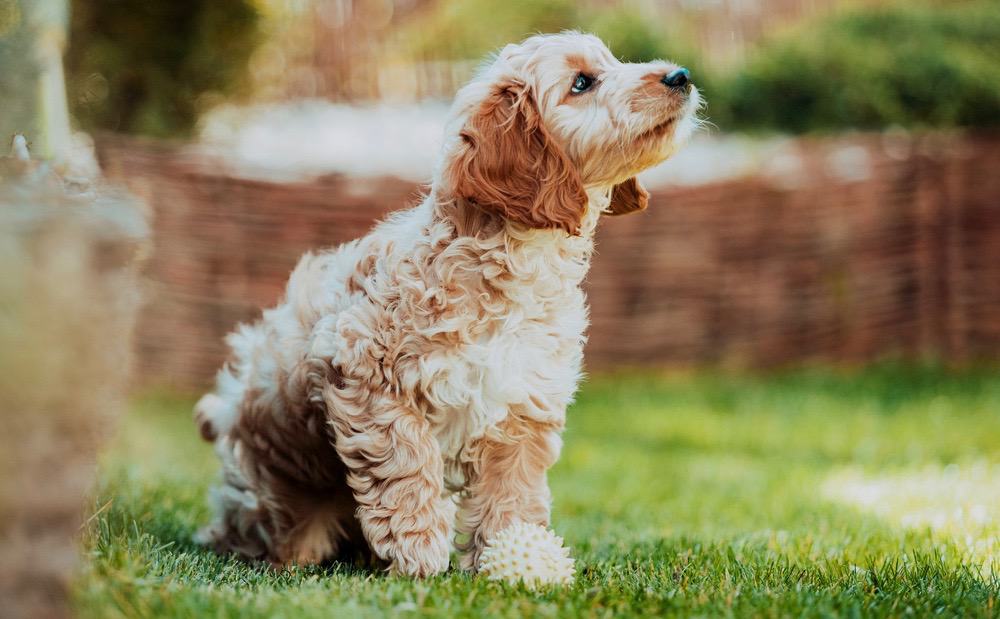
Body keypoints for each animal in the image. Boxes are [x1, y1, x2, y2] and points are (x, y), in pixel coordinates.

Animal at [193, 32, 696, 576]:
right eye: (583, 82)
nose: (681, 75)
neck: (515, 262)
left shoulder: (521, 405)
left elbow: (512, 490)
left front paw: (511, 552)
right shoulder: (369, 374)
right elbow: (407, 464)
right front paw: (419, 553)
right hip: (276, 496)